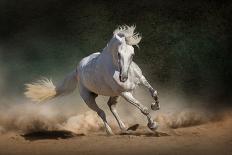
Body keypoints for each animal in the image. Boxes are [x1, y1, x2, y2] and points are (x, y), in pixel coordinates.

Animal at [24, 24, 160, 135]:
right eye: (118, 54)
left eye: (132, 54)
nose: (123, 78)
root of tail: (77, 69)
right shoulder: (125, 93)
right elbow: (144, 109)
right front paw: (153, 125)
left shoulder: (141, 80)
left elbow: (154, 92)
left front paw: (155, 106)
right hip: (89, 98)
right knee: (101, 112)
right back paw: (110, 132)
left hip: (113, 94)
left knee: (111, 106)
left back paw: (125, 128)